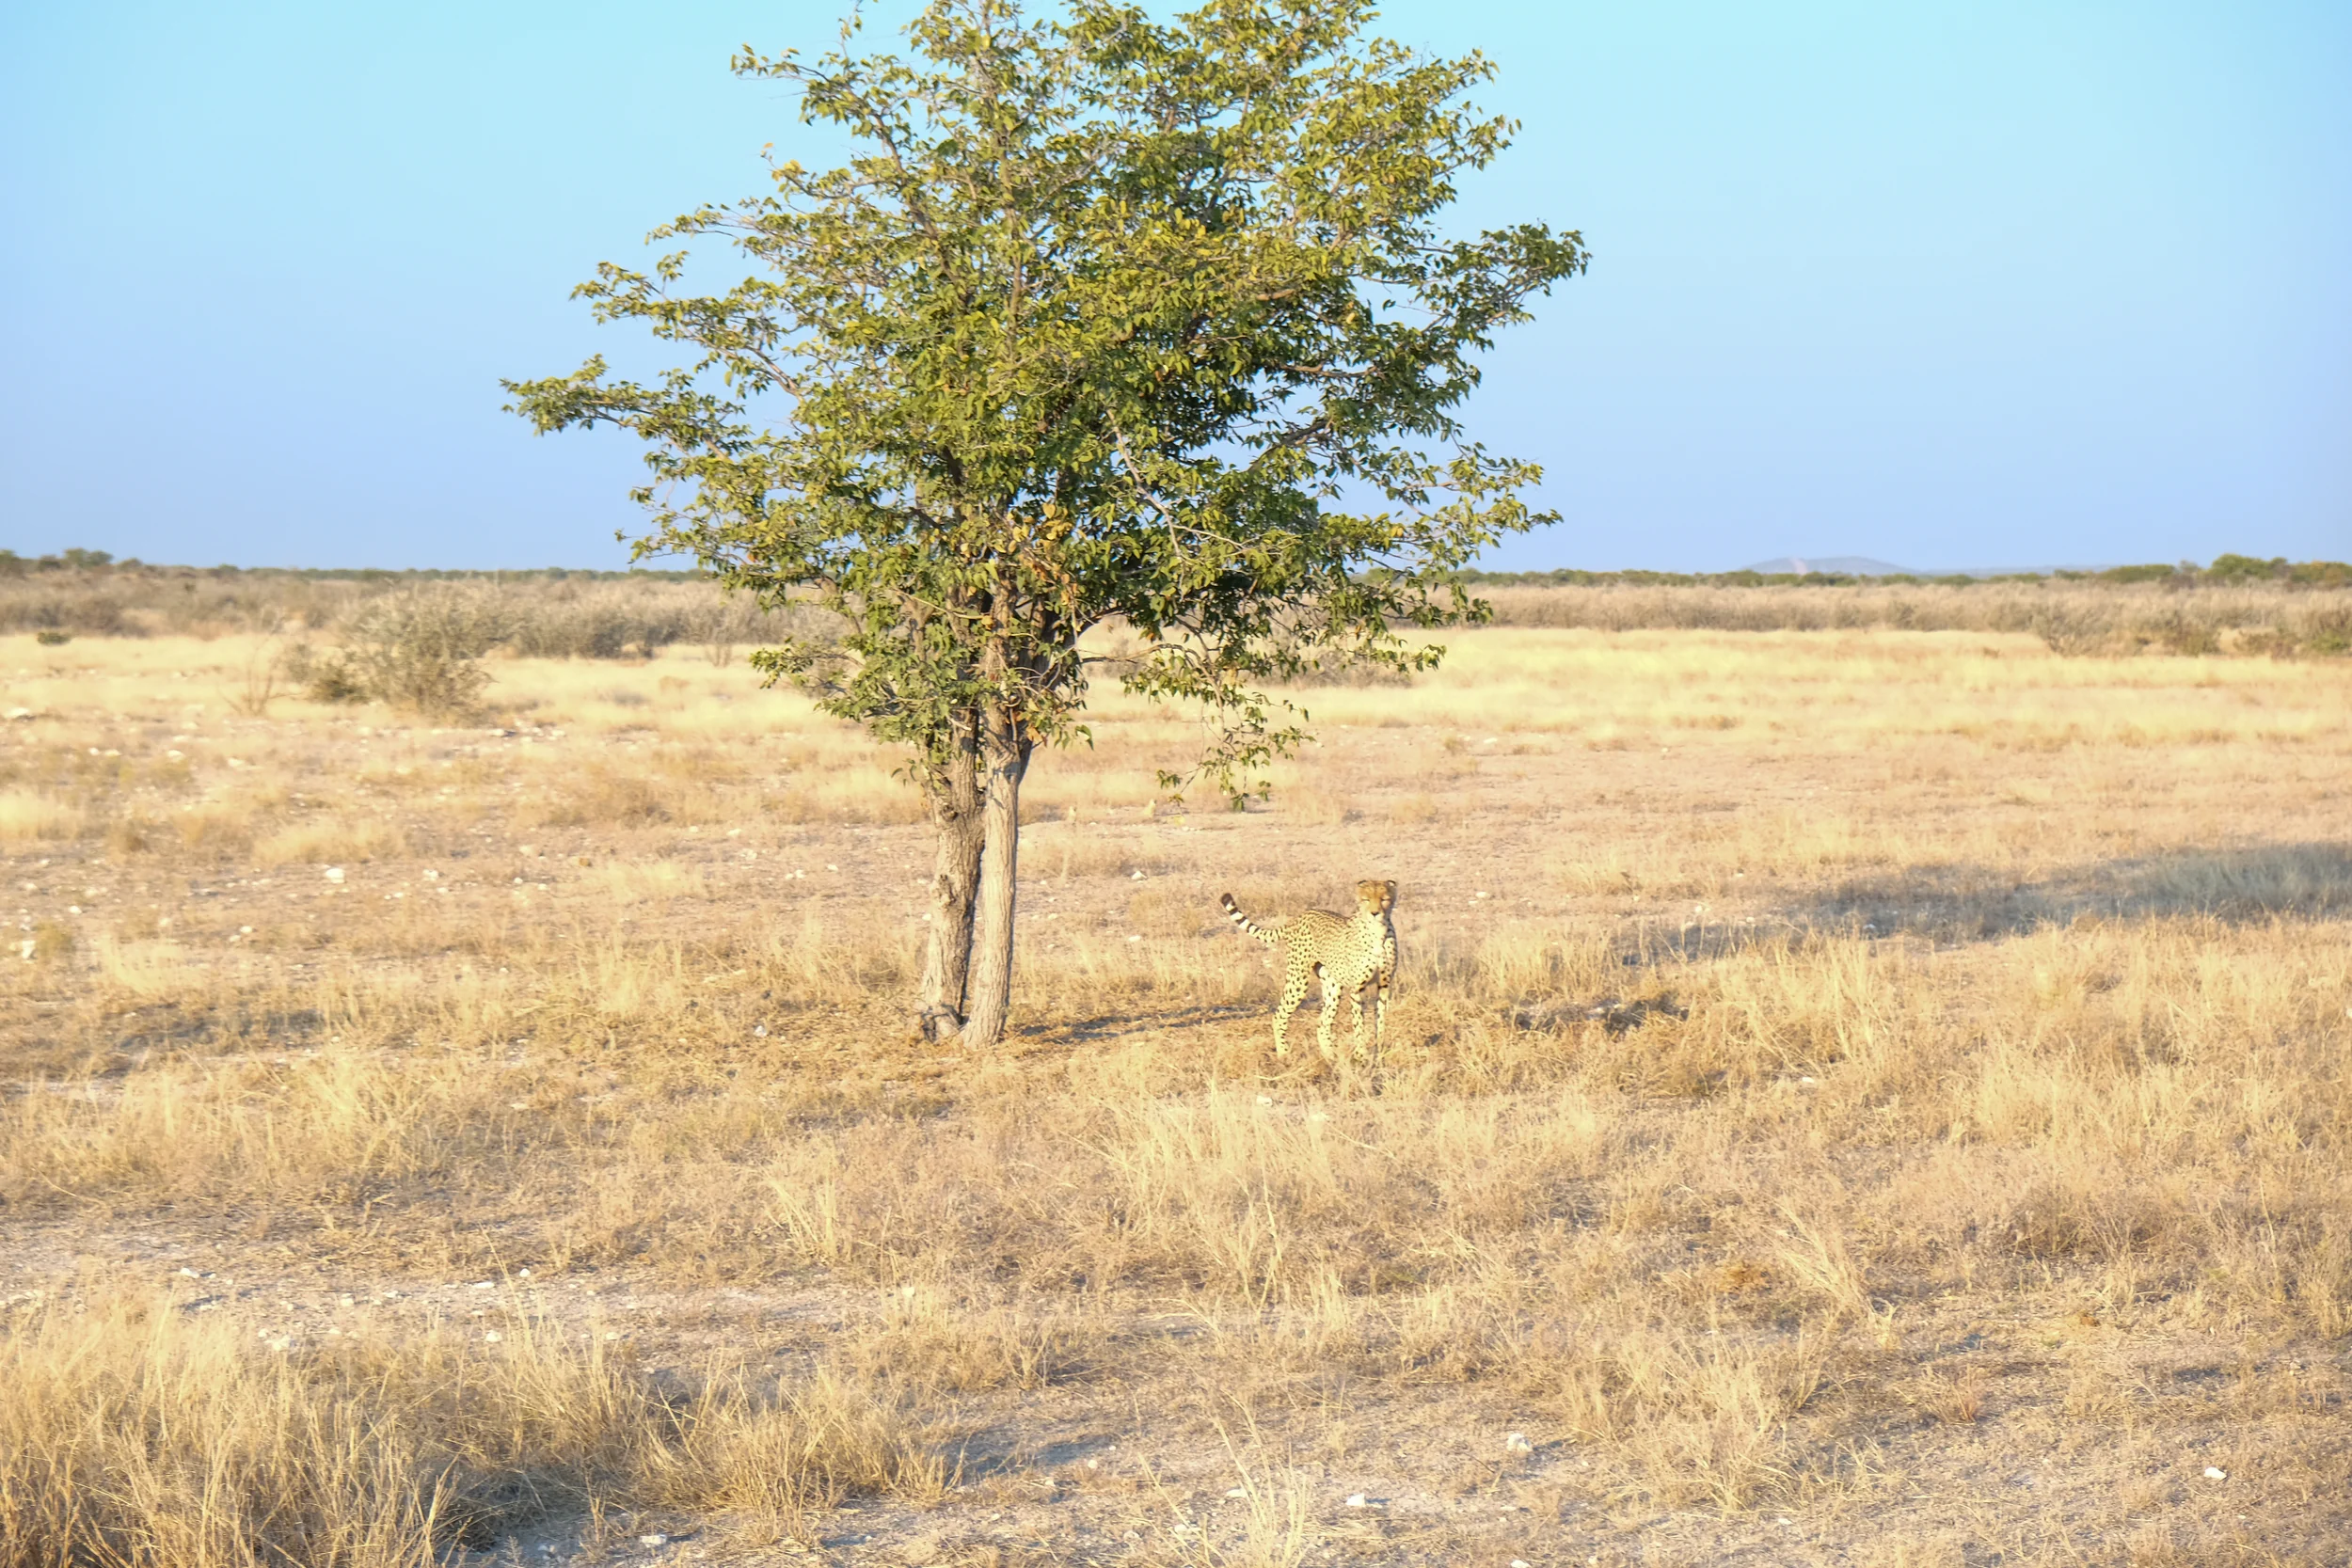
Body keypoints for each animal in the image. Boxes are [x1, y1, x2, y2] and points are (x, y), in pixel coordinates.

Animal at [1220, 879, 1398, 1060]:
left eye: (1384, 899)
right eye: (1366, 900)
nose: (1375, 913)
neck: (1378, 932)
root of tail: (1300, 916)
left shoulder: (1384, 985)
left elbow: (1380, 1020)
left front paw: (1380, 1051)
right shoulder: (1357, 988)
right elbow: (1359, 1023)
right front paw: (1361, 1055)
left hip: (1332, 987)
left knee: (1322, 1023)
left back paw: (1330, 1057)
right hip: (1298, 980)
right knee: (1279, 1015)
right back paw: (1283, 1054)